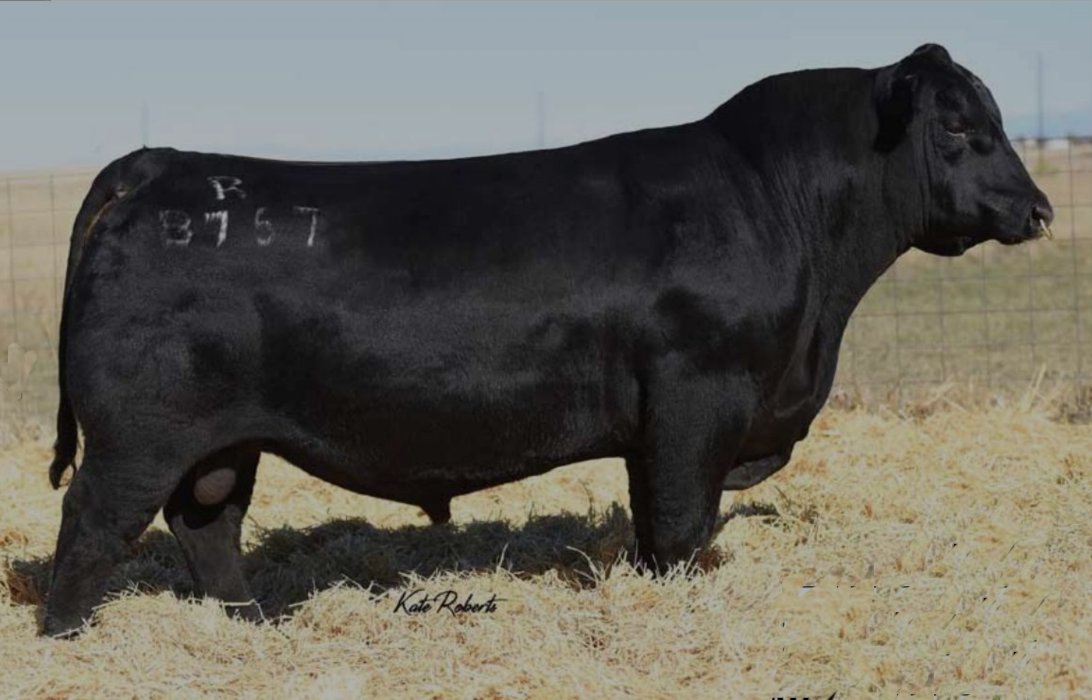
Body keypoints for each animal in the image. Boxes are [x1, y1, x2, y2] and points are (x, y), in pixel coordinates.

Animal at [42, 44, 1052, 636]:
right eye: (958, 124)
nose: (1039, 209)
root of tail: (161, 165)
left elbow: (657, 522)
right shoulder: (696, 399)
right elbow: (678, 526)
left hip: (221, 439)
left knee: (207, 522)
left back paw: (253, 625)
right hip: (137, 436)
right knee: (91, 525)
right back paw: (68, 638)